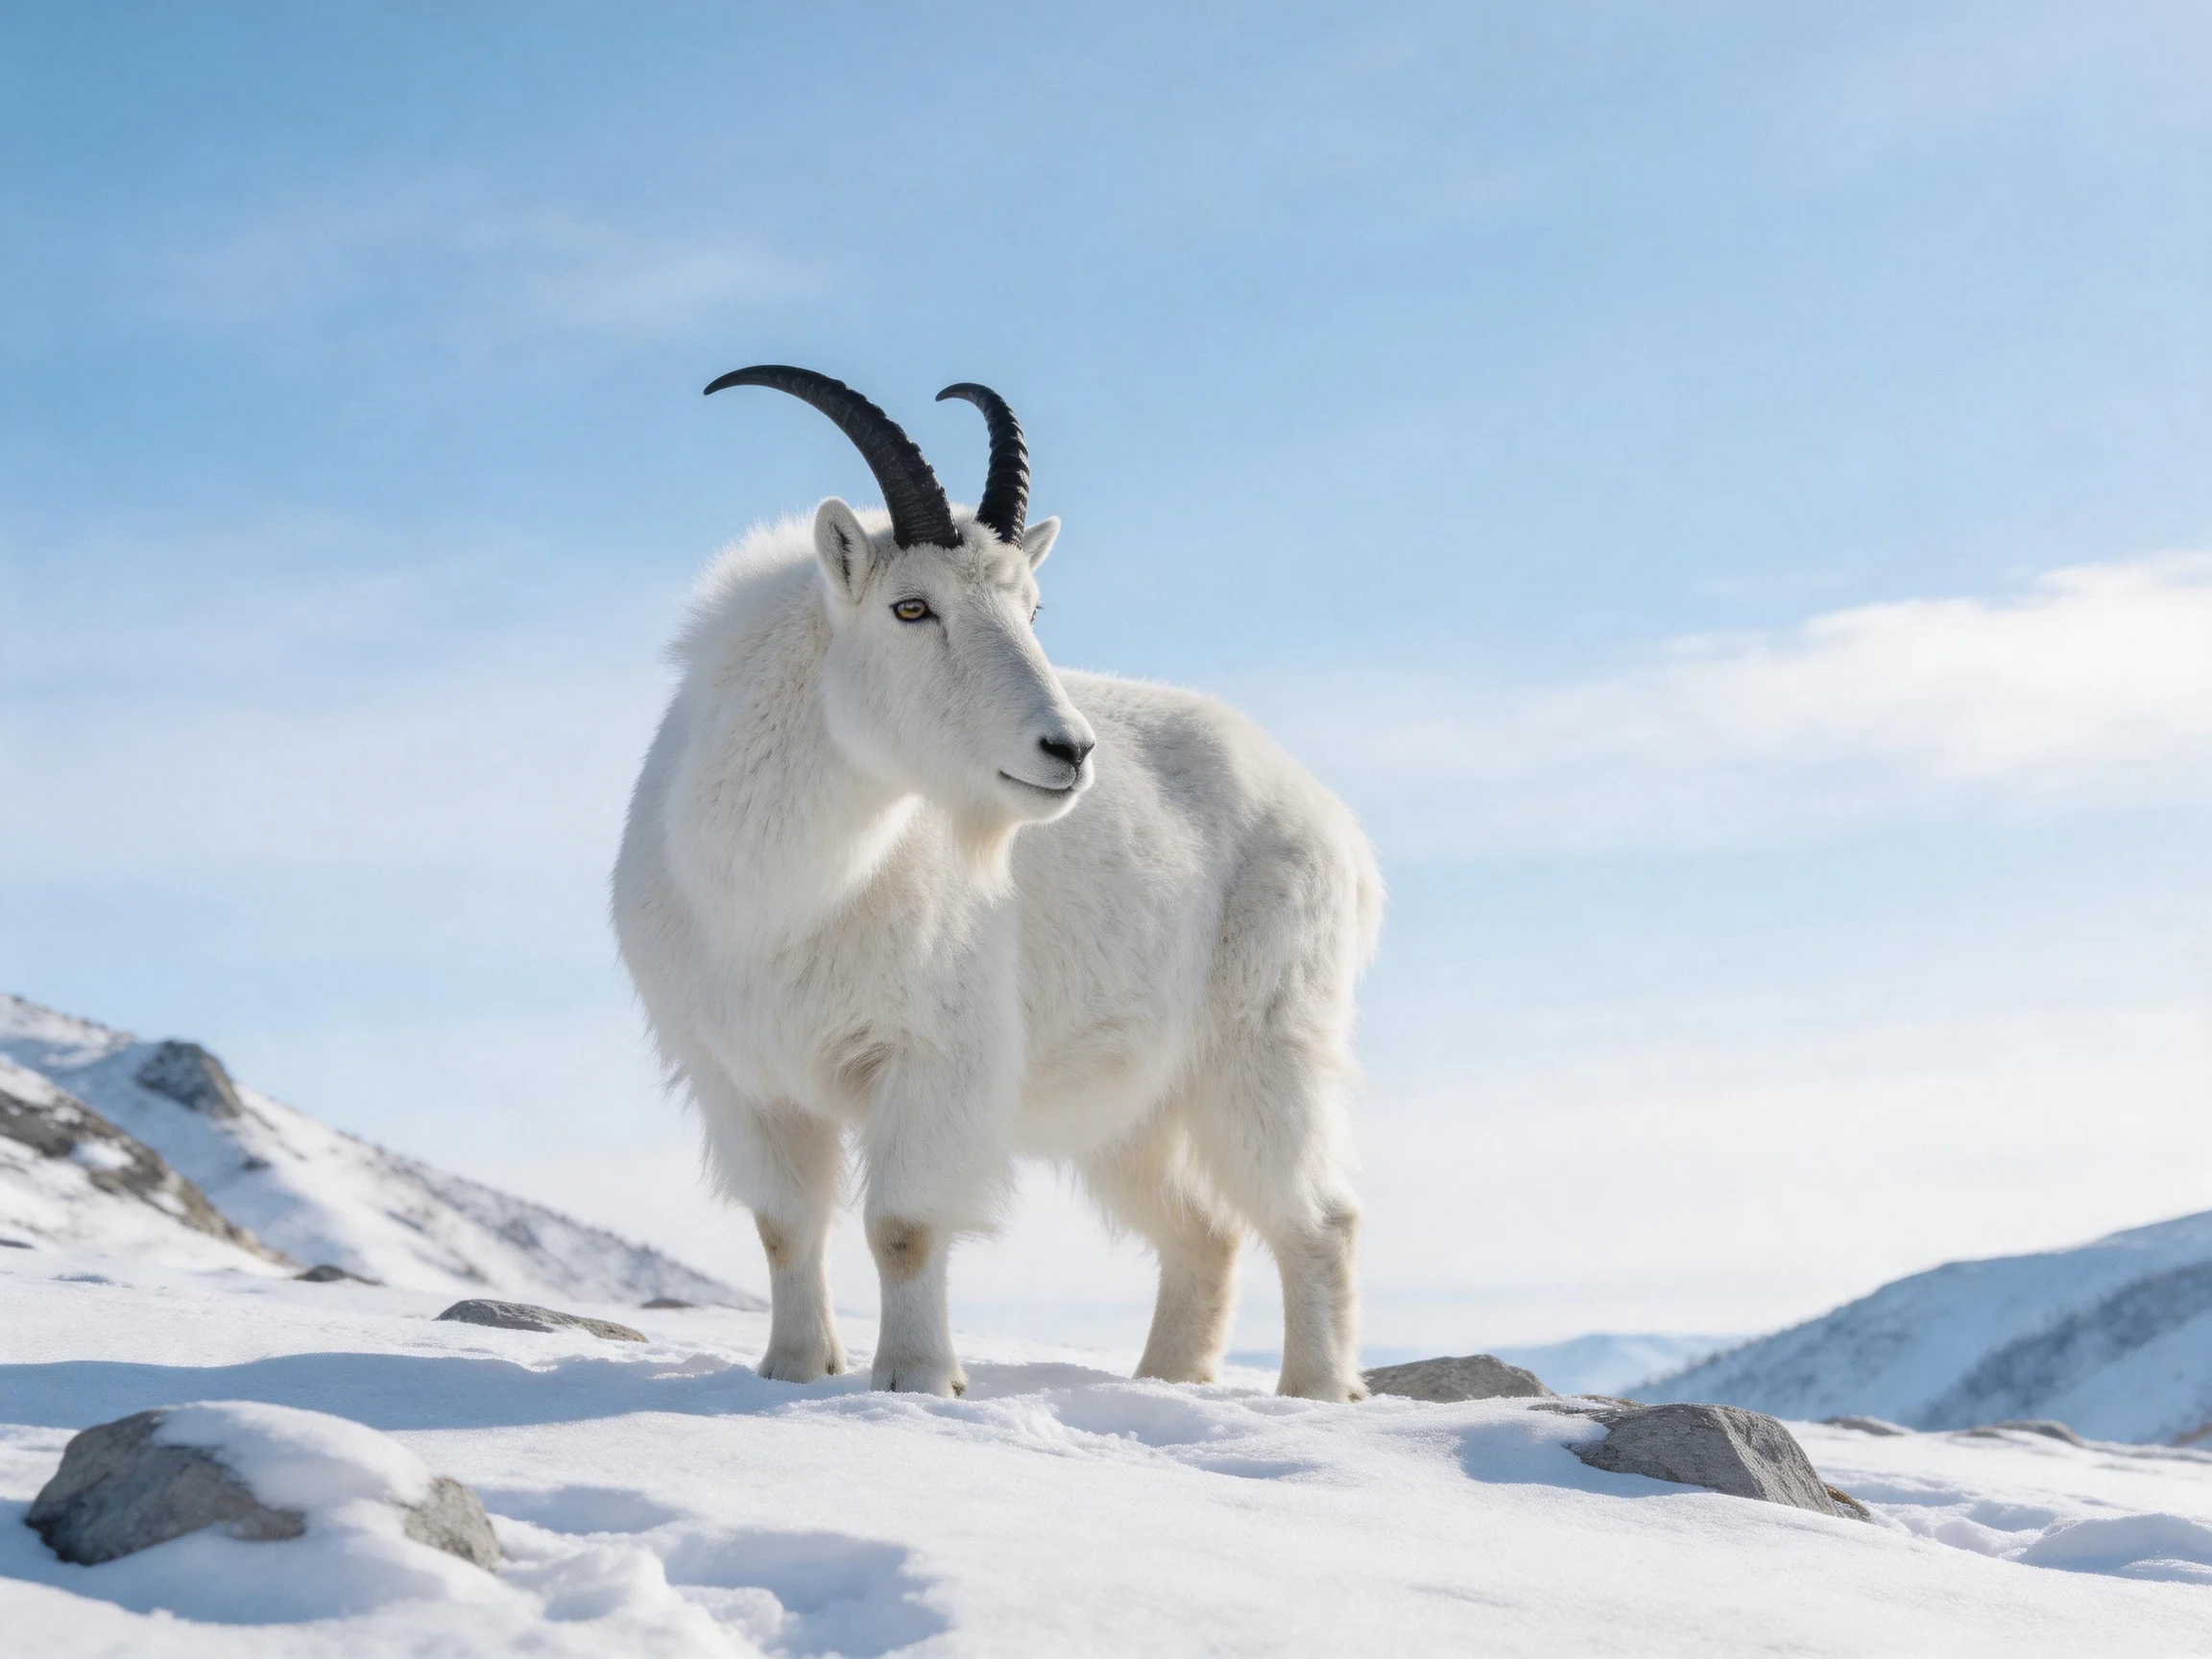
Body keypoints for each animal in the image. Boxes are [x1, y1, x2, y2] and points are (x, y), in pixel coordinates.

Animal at [613, 366, 1381, 1399]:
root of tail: (1333, 824)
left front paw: (917, 1380)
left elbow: (901, 1227)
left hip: (1262, 1052)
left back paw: (1316, 1390)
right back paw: (1166, 1382)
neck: (784, 898)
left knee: (1317, 1216)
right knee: (1204, 1233)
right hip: (1127, 1110)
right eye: (912, 607)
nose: (1069, 750)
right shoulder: (743, 1078)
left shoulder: (930, 1061)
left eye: (1033, 609)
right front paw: (793, 1371)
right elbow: (783, 1227)